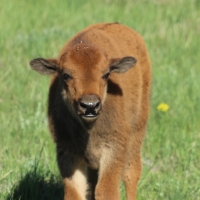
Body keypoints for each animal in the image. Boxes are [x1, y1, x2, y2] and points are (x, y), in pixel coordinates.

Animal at [29, 22, 151, 199]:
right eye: (65, 75)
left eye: (106, 74)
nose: (90, 105)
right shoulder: (67, 152)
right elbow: (75, 191)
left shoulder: (113, 148)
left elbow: (106, 189)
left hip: (138, 130)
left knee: (131, 173)